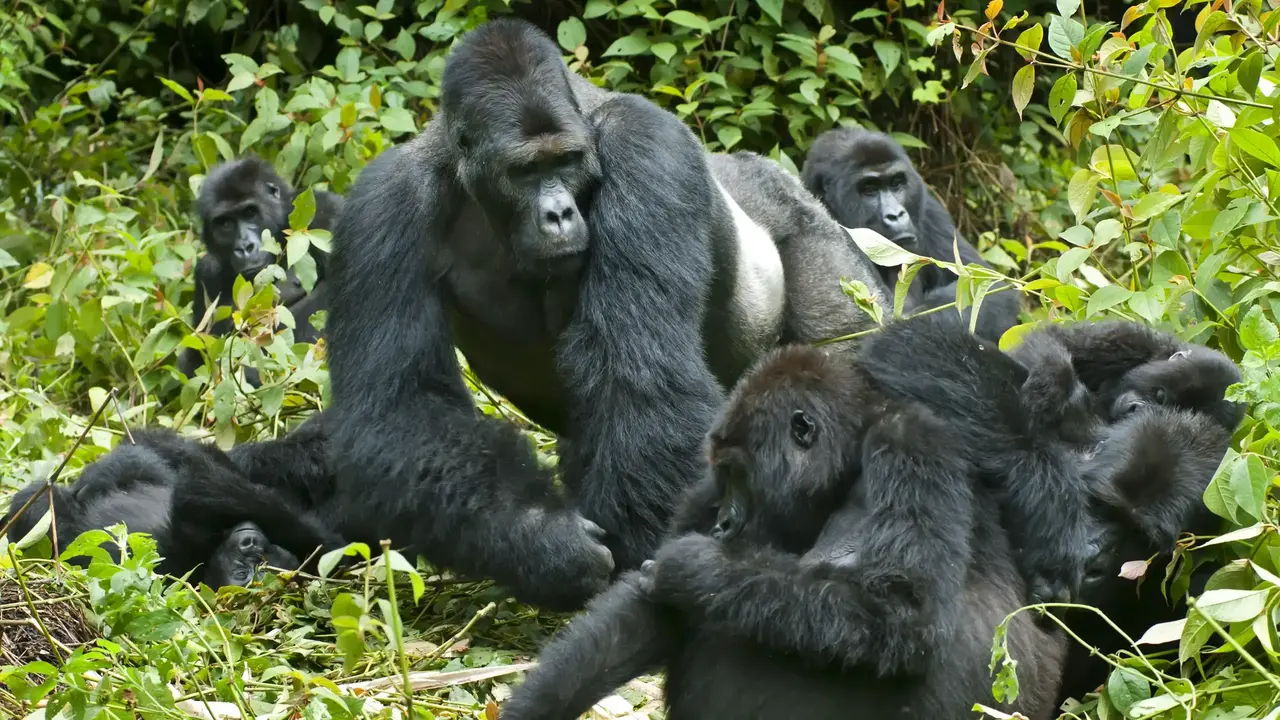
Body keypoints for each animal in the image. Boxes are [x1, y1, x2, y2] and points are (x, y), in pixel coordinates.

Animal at [177, 155, 345, 384]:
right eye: (225, 223)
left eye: (250, 212)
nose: (245, 247)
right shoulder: (206, 274)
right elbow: (198, 360)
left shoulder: (327, 214)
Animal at [320, 19, 890, 607]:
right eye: (524, 171)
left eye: (565, 161)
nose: (558, 214)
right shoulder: (382, 205)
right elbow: (399, 404)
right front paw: (542, 541)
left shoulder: (646, 145)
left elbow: (637, 373)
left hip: (820, 237)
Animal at [499, 340, 1070, 717]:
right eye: (723, 479)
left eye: (740, 477)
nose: (725, 524)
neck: (848, 462)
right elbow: (648, 615)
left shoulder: (912, 444)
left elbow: (903, 608)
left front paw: (692, 564)